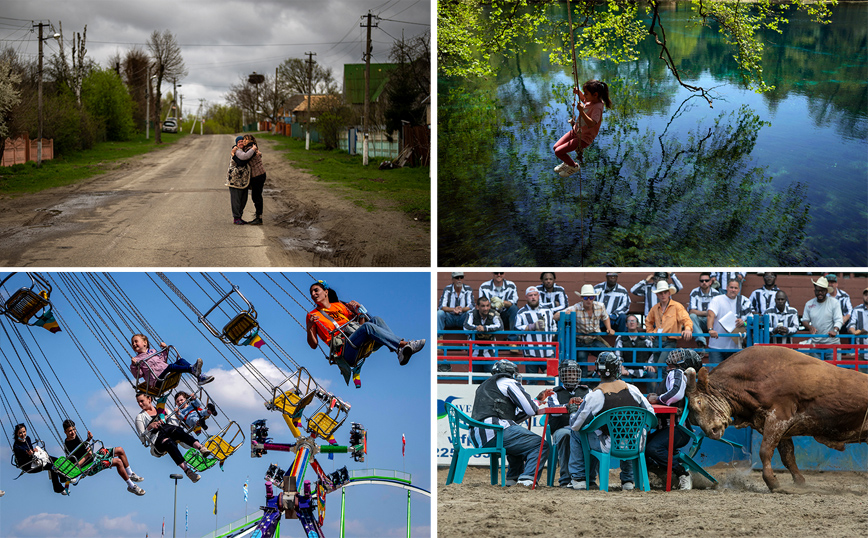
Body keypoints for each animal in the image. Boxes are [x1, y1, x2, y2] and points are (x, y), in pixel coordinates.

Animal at [688, 344, 864, 490]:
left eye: (699, 402)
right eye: (691, 418)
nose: (711, 431)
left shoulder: (778, 418)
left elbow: (765, 451)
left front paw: (772, 482)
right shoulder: (780, 428)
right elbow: (787, 456)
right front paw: (800, 482)